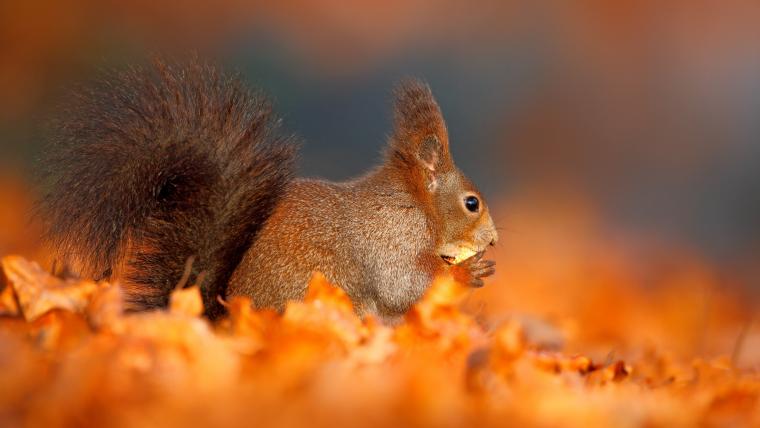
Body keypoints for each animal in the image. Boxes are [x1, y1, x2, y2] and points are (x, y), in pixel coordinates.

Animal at [38, 58, 498, 320]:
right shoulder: (392, 234)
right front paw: (467, 272)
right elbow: (403, 283)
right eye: (471, 203)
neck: (418, 205)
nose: (493, 240)